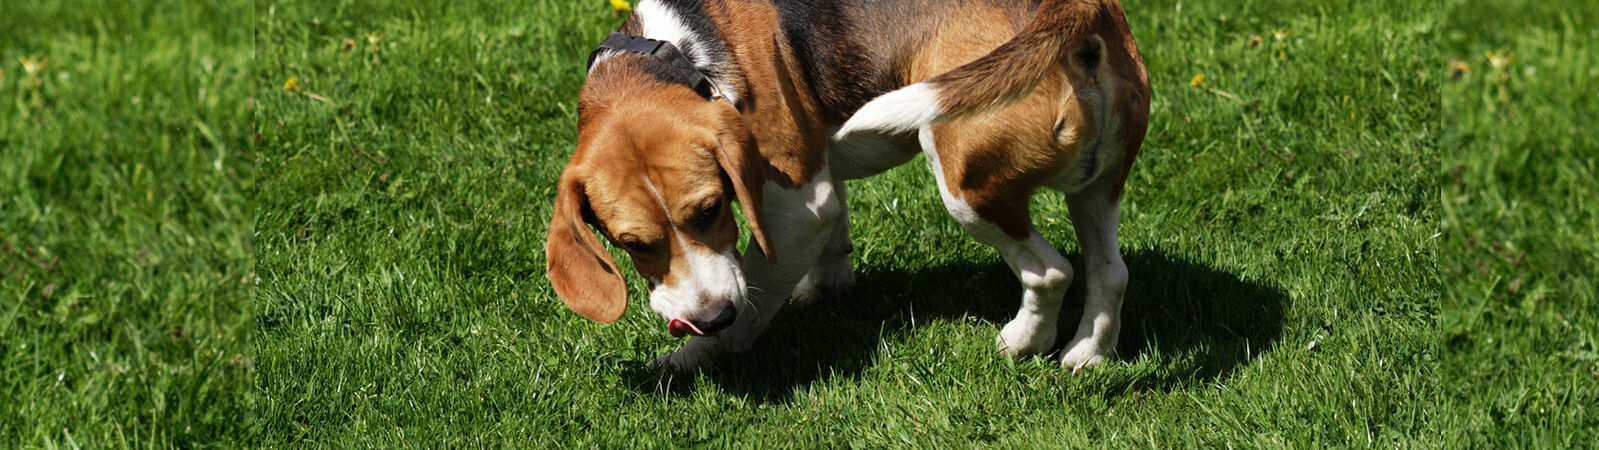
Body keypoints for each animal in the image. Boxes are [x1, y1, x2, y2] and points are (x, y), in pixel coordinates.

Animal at [550, 0, 1151, 369]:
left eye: (710, 211)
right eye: (632, 244)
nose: (708, 318)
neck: (682, 51)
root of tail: (1076, 9)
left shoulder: (799, 205)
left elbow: (756, 292)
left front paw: (702, 357)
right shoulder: (819, 193)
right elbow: (832, 233)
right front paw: (827, 286)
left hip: (965, 184)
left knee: (1052, 272)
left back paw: (1023, 342)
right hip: (1096, 187)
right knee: (1110, 271)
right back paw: (1088, 354)